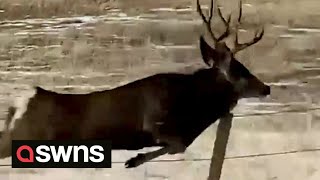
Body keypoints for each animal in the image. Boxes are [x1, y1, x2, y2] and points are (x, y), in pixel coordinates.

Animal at [0, 0, 268, 168]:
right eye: (239, 70)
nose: (266, 88)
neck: (195, 108)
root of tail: (19, 102)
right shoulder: (154, 120)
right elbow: (177, 146)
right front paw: (134, 159)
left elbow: (177, 147)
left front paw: (134, 160)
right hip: (21, 135)